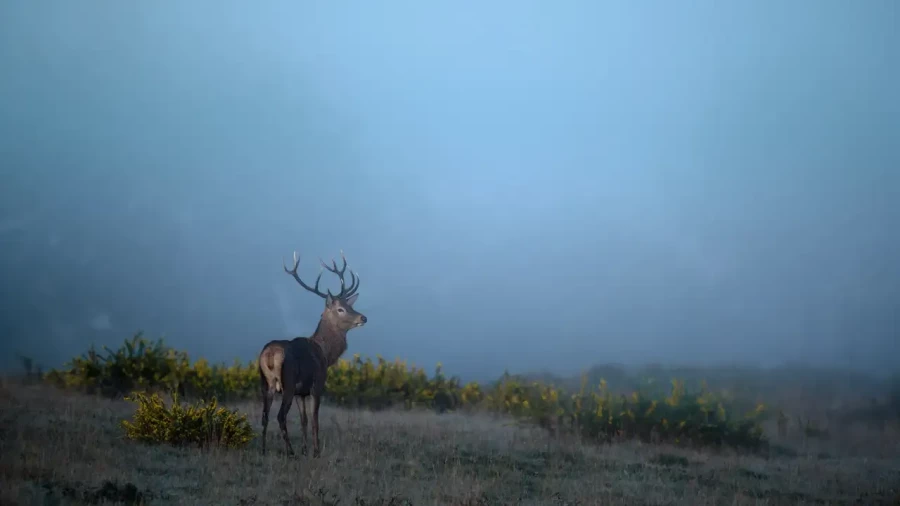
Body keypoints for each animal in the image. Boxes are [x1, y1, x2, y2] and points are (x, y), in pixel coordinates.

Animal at [258, 250, 368, 457]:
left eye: (350, 305)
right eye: (340, 309)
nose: (363, 317)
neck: (325, 353)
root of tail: (269, 355)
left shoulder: (301, 393)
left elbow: (304, 420)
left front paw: (305, 449)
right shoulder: (317, 385)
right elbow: (315, 420)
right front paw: (315, 451)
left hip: (265, 383)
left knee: (265, 416)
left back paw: (264, 450)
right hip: (288, 381)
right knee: (280, 416)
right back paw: (290, 452)